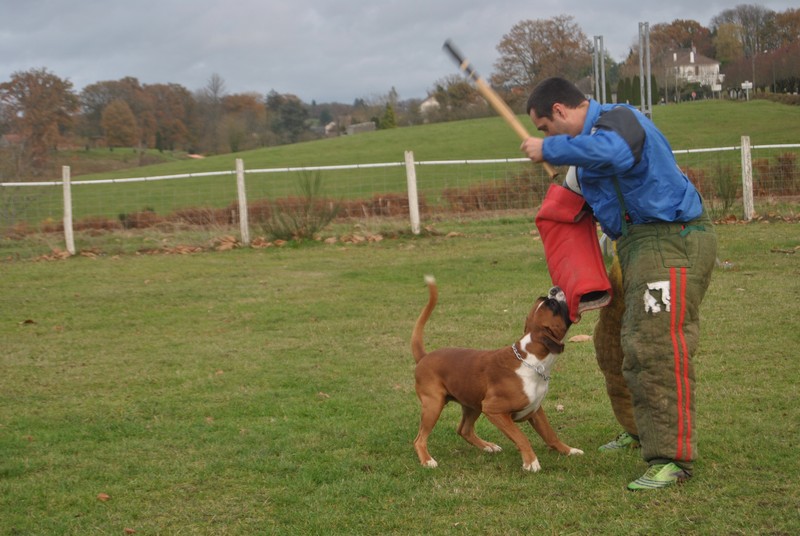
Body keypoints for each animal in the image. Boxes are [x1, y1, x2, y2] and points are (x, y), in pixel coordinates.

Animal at [410, 274, 584, 472]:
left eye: (547, 301)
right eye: (553, 305)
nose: (554, 289)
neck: (531, 358)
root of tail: (424, 356)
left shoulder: (536, 410)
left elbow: (550, 435)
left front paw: (568, 450)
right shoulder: (494, 410)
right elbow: (521, 437)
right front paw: (531, 462)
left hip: (473, 405)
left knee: (464, 430)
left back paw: (487, 446)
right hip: (434, 405)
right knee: (420, 439)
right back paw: (427, 460)